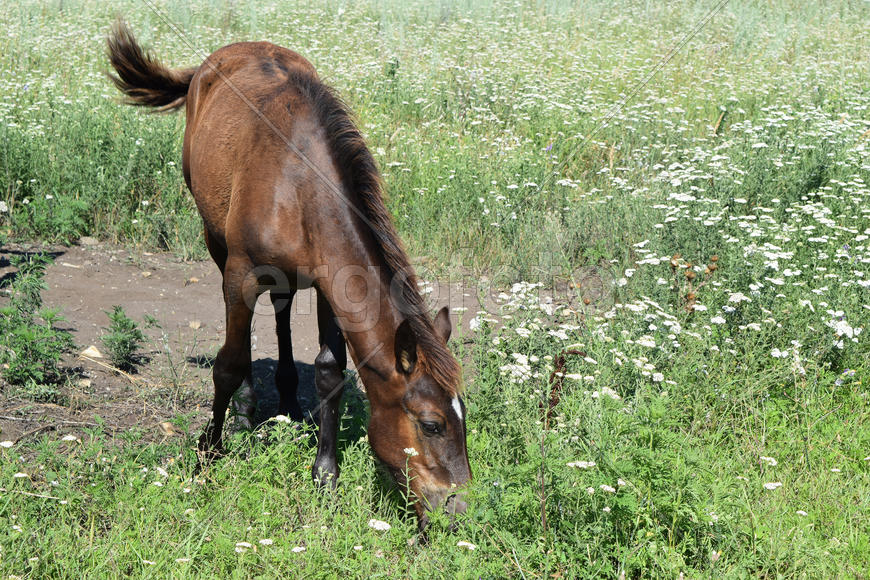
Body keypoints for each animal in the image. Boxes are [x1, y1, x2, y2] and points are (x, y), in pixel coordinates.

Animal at [110, 22, 476, 528]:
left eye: (463, 418)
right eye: (431, 424)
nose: (457, 509)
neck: (299, 185)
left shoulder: (331, 284)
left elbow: (329, 371)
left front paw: (325, 474)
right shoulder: (242, 273)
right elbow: (228, 363)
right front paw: (209, 451)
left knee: (281, 310)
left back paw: (285, 400)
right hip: (214, 238)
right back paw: (246, 412)